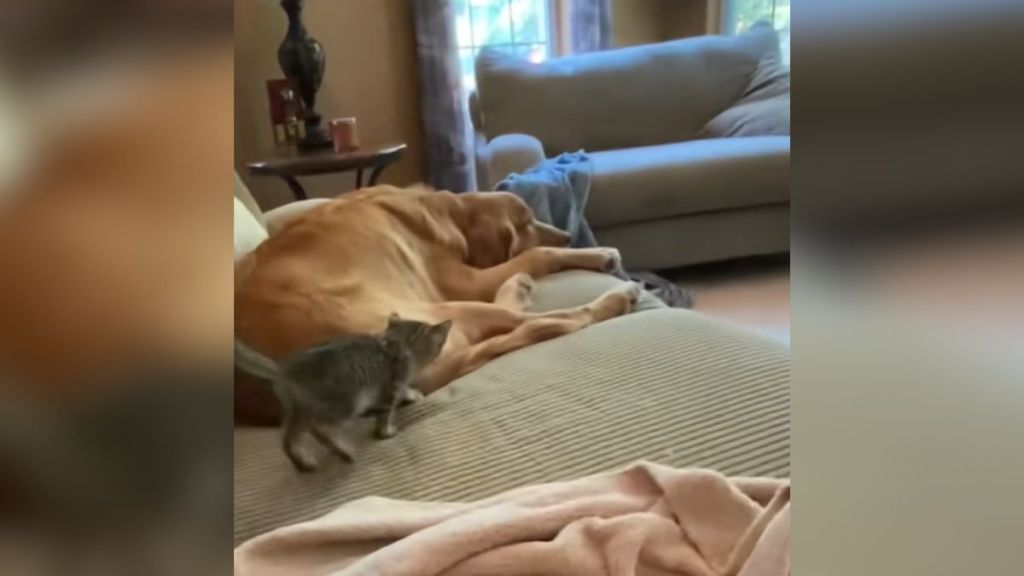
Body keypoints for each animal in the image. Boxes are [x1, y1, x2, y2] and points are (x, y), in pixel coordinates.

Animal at [238, 186, 638, 391]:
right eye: (526, 223)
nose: (568, 235)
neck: (449, 209)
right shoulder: (468, 281)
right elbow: (539, 253)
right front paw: (600, 254)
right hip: (445, 311)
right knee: (560, 318)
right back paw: (616, 297)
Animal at [238, 313, 452, 471]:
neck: (399, 343)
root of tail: (283, 369)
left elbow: (405, 392)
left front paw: (414, 395)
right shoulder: (390, 386)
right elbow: (386, 412)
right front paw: (386, 432)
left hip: (298, 410)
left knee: (290, 438)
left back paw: (305, 463)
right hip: (346, 403)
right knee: (320, 427)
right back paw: (343, 450)